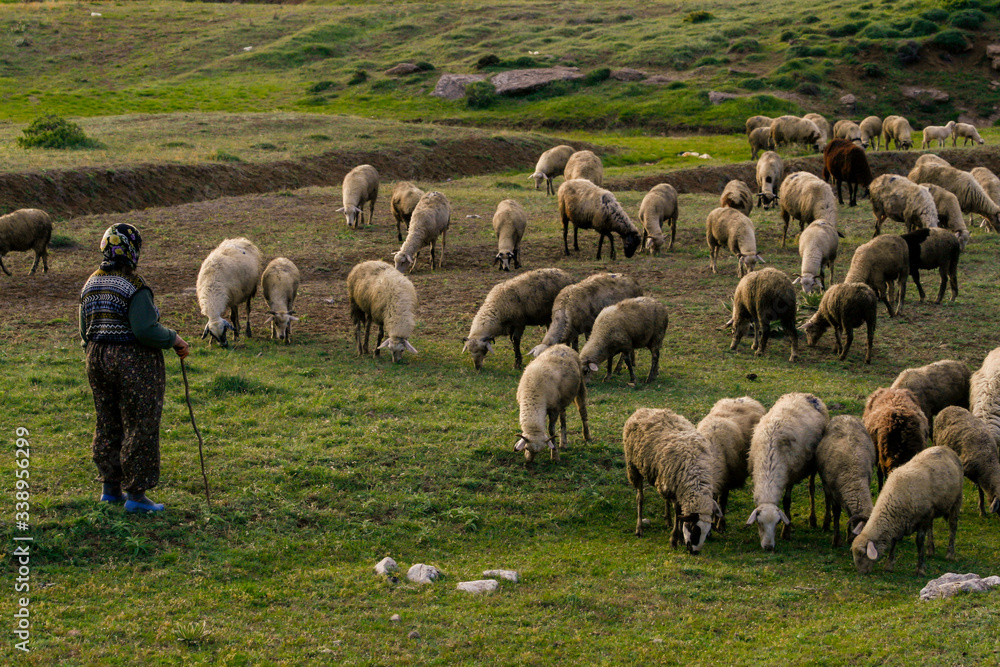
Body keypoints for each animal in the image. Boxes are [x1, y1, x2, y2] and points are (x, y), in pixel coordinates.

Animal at [623, 407, 723, 553]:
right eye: (694, 529)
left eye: (707, 531)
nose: (694, 552)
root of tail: (642, 409)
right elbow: (678, 512)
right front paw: (675, 539)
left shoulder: (677, 487)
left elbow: (679, 512)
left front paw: (679, 536)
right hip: (634, 466)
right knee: (640, 498)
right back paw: (639, 529)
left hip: (664, 477)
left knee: (665, 498)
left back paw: (668, 520)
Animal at [746, 392, 830, 550]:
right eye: (759, 523)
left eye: (777, 522)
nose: (768, 547)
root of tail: (807, 395)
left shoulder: (790, 475)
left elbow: (787, 501)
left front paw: (786, 532)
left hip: (813, 464)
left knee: (814, 488)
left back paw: (816, 521)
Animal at [815, 415, 876, 547]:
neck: (855, 480)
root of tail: (845, 415)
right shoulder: (834, 491)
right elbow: (837, 513)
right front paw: (836, 540)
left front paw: (849, 537)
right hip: (825, 482)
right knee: (827, 499)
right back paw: (826, 523)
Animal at [851, 446, 963, 576]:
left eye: (863, 554)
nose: (861, 572)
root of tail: (945, 448)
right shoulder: (899, 522)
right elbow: (894, 541)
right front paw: (889, 565)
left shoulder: (922, 518)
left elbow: (919, 541)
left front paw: (920, 569)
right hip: (933, 510)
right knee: (931, 527)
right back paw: (931, 550)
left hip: (956, 500)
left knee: (953, 526)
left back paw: (950, 554)